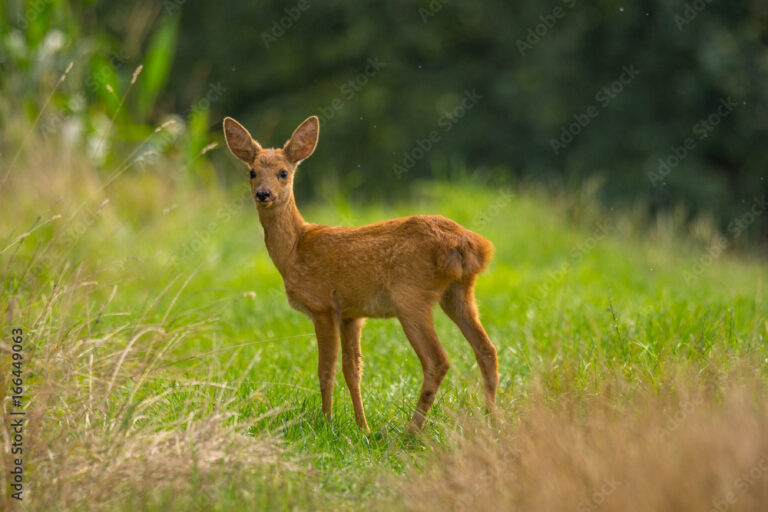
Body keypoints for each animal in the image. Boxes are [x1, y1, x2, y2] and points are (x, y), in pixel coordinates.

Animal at [222, 115, 498, 434]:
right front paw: (361, 426)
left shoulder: (322, 306)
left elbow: (326, 369)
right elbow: (352, 369)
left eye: (283, 173)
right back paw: (492, 420)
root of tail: (471, 244)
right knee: (487, 350)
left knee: (438, 361)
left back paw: (411, 431)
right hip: (459, 292)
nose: (263, 194)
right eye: (252, 172)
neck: (295, 249)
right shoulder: (351, 315)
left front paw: (326, 422)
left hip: (411, 296)